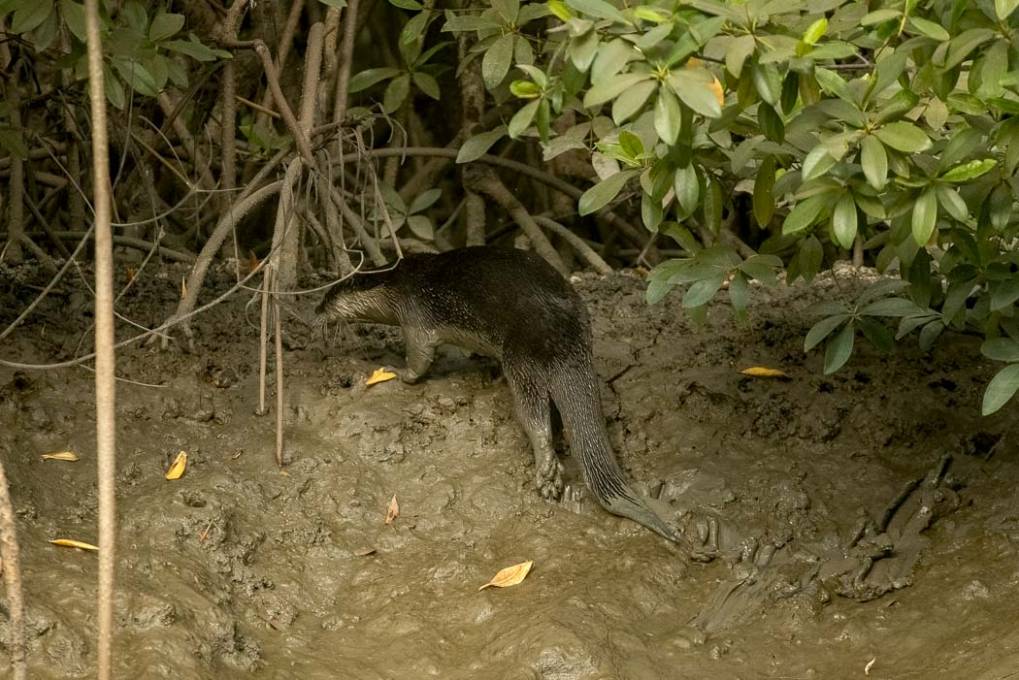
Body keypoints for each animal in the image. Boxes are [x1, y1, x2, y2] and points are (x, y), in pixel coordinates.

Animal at [315, 244, 684, 542]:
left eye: (328, 297)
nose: (316, 313)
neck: (396, 284)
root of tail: (563, 328)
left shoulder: (414, 314)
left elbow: (419, 357)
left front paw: (395, 371)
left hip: (521, 355)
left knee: (533, 414)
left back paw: (546, 471)